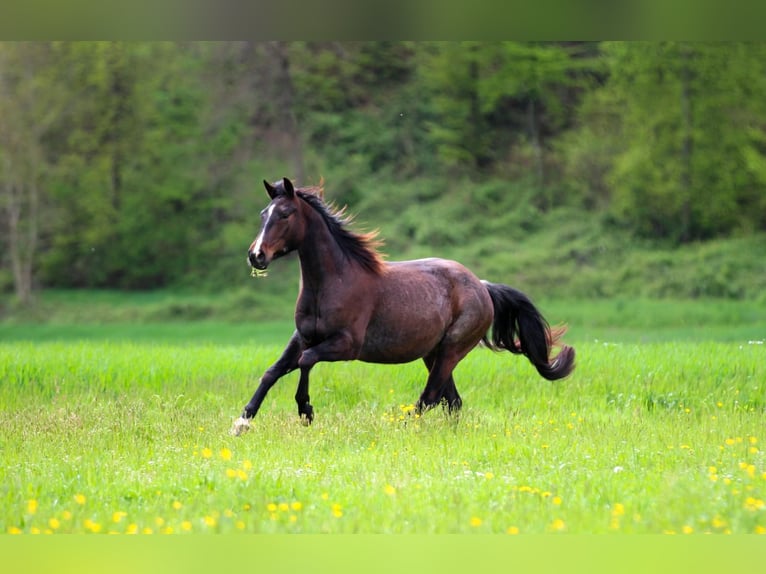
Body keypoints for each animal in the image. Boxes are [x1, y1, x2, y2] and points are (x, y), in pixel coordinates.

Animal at [231, 177, 575, 435]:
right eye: (263, 214)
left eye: (286, 214)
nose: (256, 256)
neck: (332, 282)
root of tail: (482, 287)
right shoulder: (302, 337)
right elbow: (272, 372)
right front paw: (242, 422)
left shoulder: (345, 345)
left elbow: (306, 361)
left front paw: (306, 410)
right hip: (433, 353)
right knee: (452, 400)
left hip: (452, 349)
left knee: (432, 397)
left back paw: (401, 427)